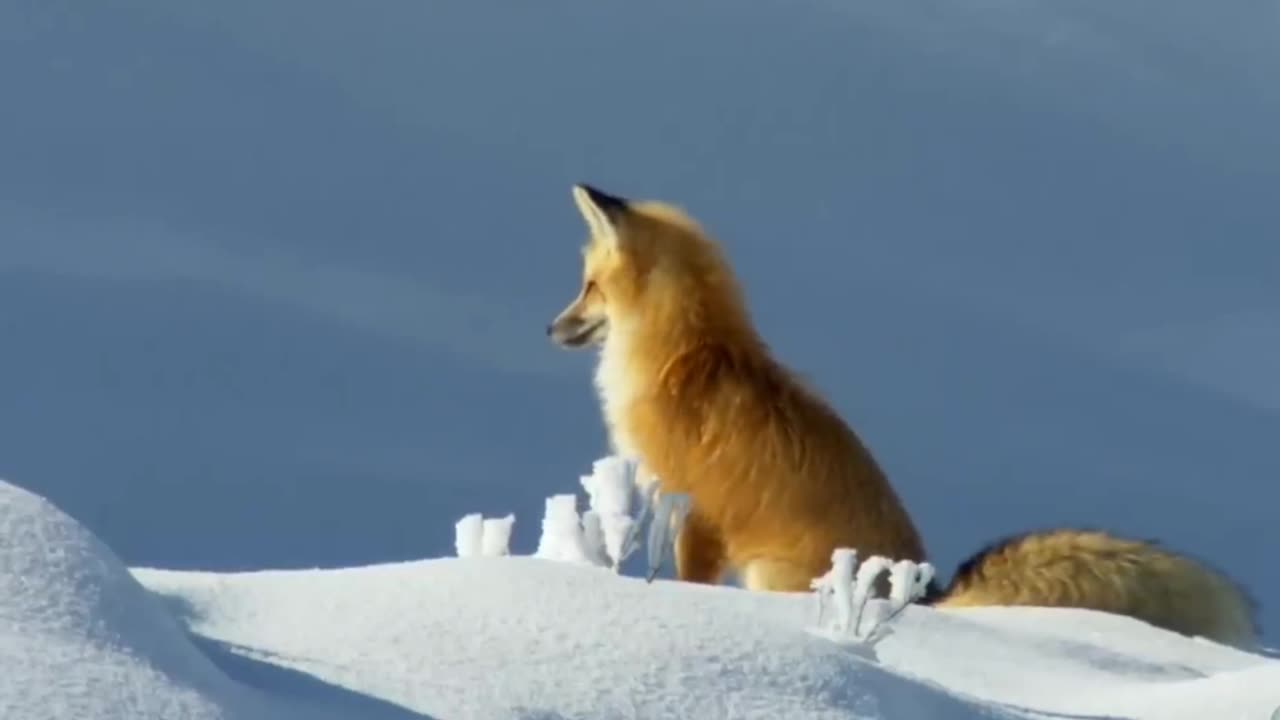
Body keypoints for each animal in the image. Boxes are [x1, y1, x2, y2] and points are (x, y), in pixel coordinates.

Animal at [546, 182, 1260, 651]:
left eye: (588, 288)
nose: (550, 330)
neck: (686, 356)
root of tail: (927, 592)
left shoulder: (699, 516)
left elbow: (689, 585)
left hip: (768, 572)